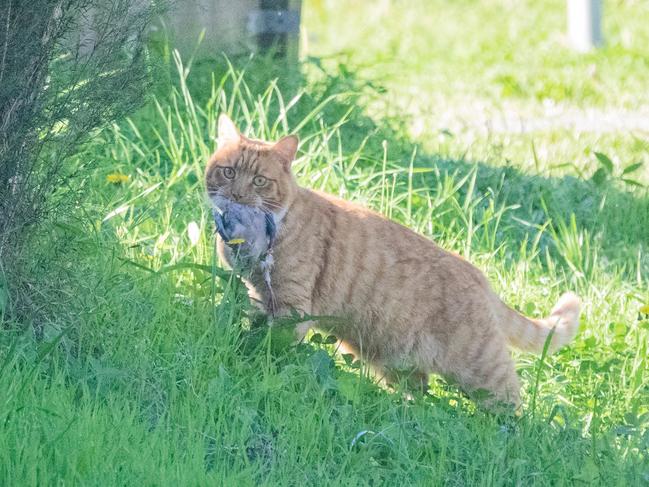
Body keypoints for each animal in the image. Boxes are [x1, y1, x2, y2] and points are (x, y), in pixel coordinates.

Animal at [205, 115, 580, 412]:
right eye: (228, 172)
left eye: (259, 180)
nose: (237, 196)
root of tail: (479, 277)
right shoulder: (257, 294)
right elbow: (253, 325)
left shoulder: (291, 307)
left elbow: (273, 345)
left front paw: (259, 359)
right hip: (395, 362)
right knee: (420, 391)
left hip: (480, 368)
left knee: (511, 403)